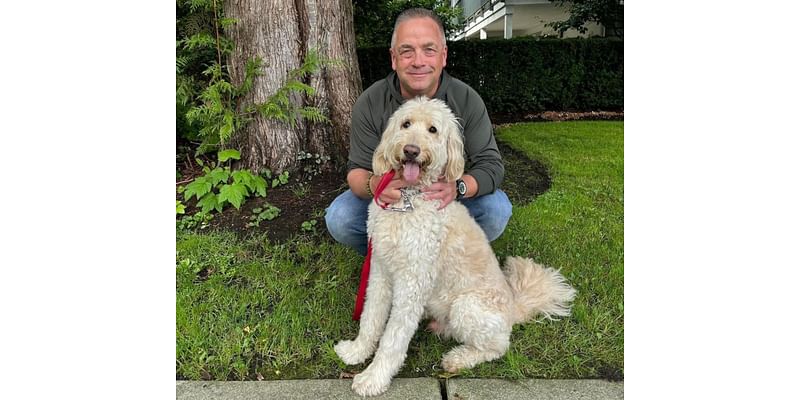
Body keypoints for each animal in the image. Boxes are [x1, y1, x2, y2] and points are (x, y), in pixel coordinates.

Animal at [332, 97, 576, 396]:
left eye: (433, 130)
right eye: (406, 124)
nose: (411, 150)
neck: (409, 198)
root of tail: (514, 308)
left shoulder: (413, 282)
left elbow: (394, 337)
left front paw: (373, 378)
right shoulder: (380, 269)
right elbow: (371, 317)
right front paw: (357, 351)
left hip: (466, 306)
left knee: (498, 346)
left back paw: (458, 358)